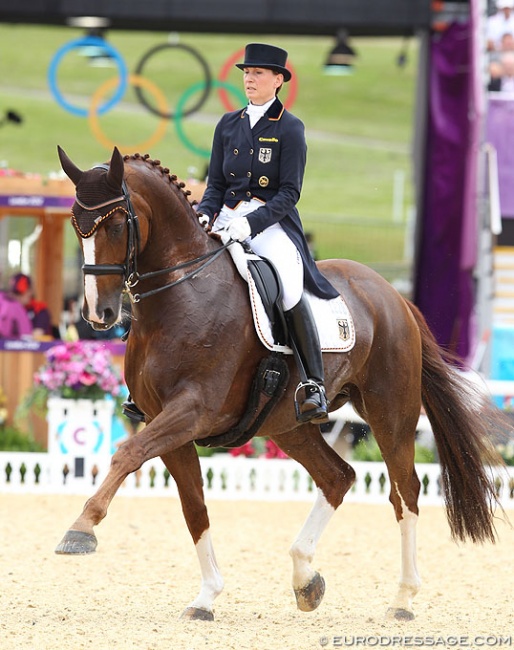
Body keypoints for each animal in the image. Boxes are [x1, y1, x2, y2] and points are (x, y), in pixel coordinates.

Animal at [55, 146, 500, 616]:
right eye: (77, 226)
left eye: (117, 224)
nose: (98, 314)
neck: (182, 293)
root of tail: (394, 295)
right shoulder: (167, 422)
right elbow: (193, 506)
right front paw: (207, 595)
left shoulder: (192, 411)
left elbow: (127, 453)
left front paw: (81, 529)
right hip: (287, 423)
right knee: (338, 477)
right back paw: (306, 579)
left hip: (390, 411)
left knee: (405, 491)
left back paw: (403, 597)